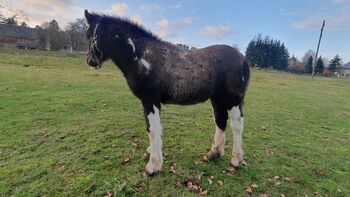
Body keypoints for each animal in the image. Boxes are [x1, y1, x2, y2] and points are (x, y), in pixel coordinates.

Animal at [83, 10, 250, 175]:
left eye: (89, 34)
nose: (90, 61)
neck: (142, 56)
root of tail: (242, 58)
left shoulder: (150, 100)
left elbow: (153, 129)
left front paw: (153, 166)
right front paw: (150, 153)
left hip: (233, 100)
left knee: (237, 125)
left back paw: (236, 160)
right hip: (217, 98)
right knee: (220, 120)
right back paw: (214, 153)